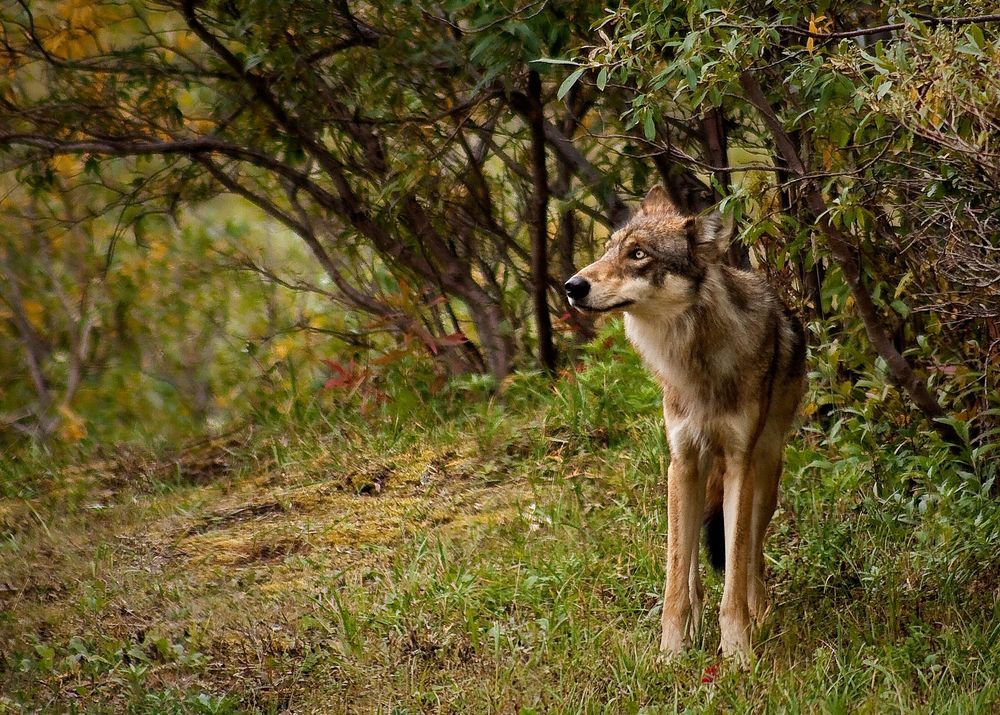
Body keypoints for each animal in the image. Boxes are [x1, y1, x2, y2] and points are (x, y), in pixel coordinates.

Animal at [564, 186, 806, 662]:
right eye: (607, 251)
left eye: (638, 254)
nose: (572, 285)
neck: (696, 365)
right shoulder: (682, 461)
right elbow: (676, 575)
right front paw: (670, 654)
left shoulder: (739, 464)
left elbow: (735, 568)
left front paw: (737, 653)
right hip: (689, 477)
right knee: (690, 558)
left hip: (765, 473)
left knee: (751, 555)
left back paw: (761, 613)